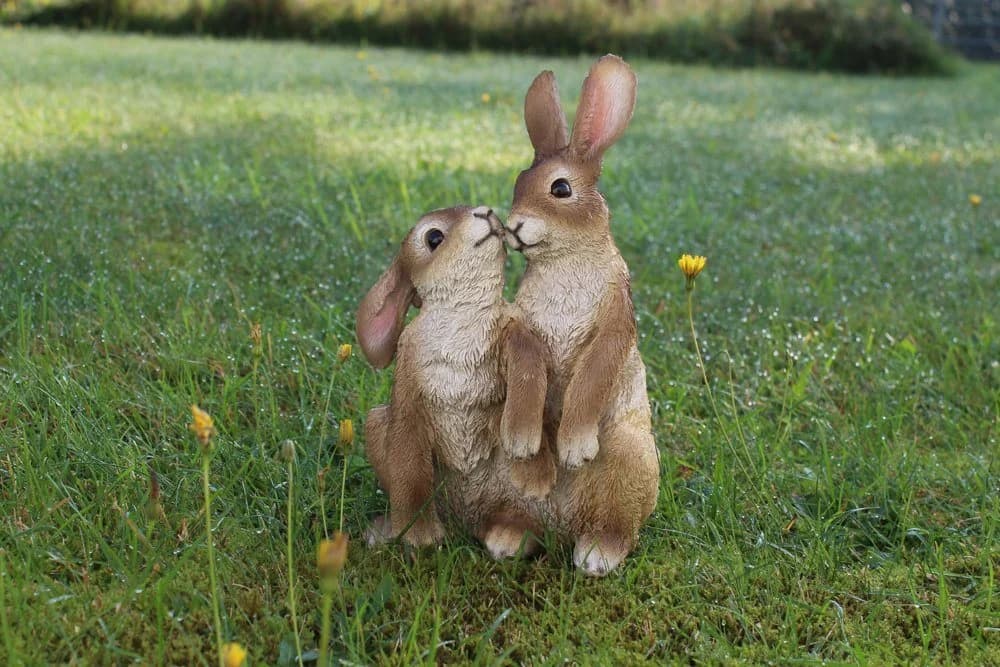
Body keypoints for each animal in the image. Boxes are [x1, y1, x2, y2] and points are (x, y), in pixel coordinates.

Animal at [356, 205, 557, 556]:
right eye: (433, 237)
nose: (485, 211)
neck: (462, 319)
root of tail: (470, 520)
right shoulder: (408, 385)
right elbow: (409, 469)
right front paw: (421, 537)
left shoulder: (513, 331)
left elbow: (528, 367)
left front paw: (529, 456)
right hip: (376, 424)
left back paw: (510, 538)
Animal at [503, 55, 660, 575]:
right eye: (518, 182)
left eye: (561, 188)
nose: (513, 226)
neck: (566, 258)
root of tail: (563, 524)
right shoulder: (523, 329)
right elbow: (527, 369)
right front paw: (524, 440)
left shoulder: (613, 325)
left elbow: (592, 376)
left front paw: (574, 446)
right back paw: (509, 535)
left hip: (630, 464)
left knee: (616, 526)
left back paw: (595, 556)